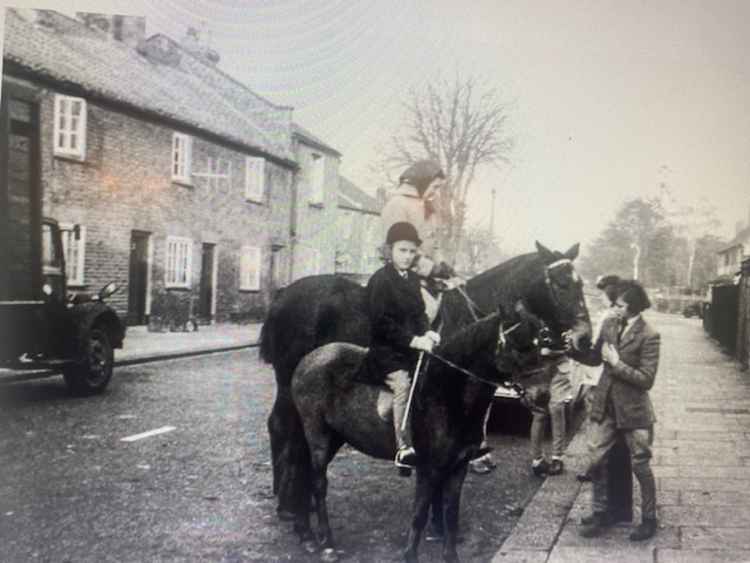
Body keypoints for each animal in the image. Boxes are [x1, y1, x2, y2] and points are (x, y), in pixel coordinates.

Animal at [262, 242, 592, 520]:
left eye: (580, 283)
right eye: (561, 284)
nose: (584, 338)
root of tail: (281, 298)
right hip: (288, 382)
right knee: (281, 426)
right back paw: (286, 499)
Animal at [294, 310, 548, 560]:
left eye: (539, 342)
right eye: (517, 343)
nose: (543, 396)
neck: (448, 393)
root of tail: (307, 360)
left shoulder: (458, 467)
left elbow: (451, 514)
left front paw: (449, 554)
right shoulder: (429, 469)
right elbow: (419, 515)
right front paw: (411, 554)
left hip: (335, 437)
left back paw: (307, 534)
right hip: (318, 436)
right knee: (318, 484)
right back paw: (327, 543)